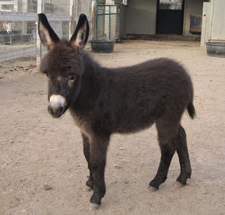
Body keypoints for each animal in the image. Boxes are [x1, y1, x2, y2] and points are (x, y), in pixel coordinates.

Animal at [37, 13, 195, 208]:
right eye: (47, 75)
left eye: (72, 77)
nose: (54, 109)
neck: (92, 90)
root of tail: (185, 73)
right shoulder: (85, 131)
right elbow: (87, 155)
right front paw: (91, 182)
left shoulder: (99, 132)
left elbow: (97, 161)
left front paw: (97, 196)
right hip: (172, 116)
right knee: (181, 136)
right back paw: (183, 177)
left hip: (167, 117)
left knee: (168, 146)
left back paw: (156, 182)